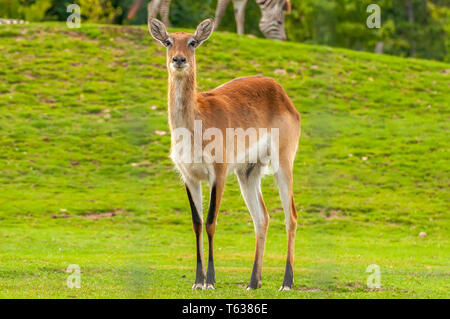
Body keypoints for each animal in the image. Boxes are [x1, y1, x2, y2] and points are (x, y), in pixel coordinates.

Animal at [149, 18, 300, 292]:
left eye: (193, 42)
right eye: (167, 41)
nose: (179, 59)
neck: (196, 124)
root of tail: (280, 91)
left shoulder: (217, 173)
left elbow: (211, 221)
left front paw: (210, 281)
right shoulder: (189, 176)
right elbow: (197, 223)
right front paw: (197, 281)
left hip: (283, 163)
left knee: (290, 216)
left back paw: (286, 282)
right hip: (248, 173)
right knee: (262, 218)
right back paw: (253, 282)